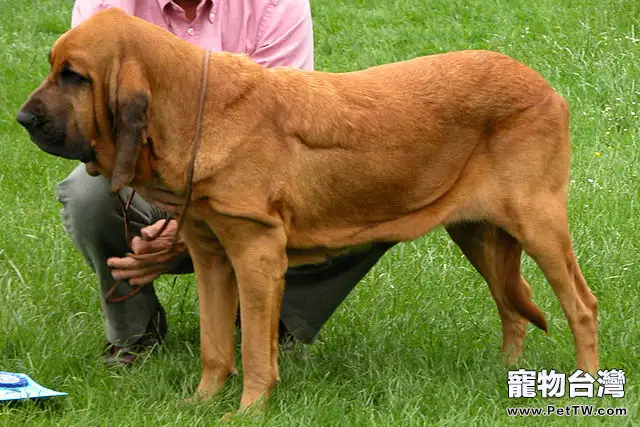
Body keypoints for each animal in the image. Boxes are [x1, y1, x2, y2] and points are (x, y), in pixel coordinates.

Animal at [17, 7, 596, 414]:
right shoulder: (212, 257)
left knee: (581, 307)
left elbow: (254, 352)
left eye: (73, 75)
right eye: (54, 69)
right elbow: (214, 346)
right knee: (512, 307)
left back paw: (586, 387)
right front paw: (200, 404)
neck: (197, 110)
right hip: (479, 235)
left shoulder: (256, 254)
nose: (22, 118)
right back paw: (506, 375)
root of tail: (548, 89)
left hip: (539, 225)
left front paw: (247, 412)